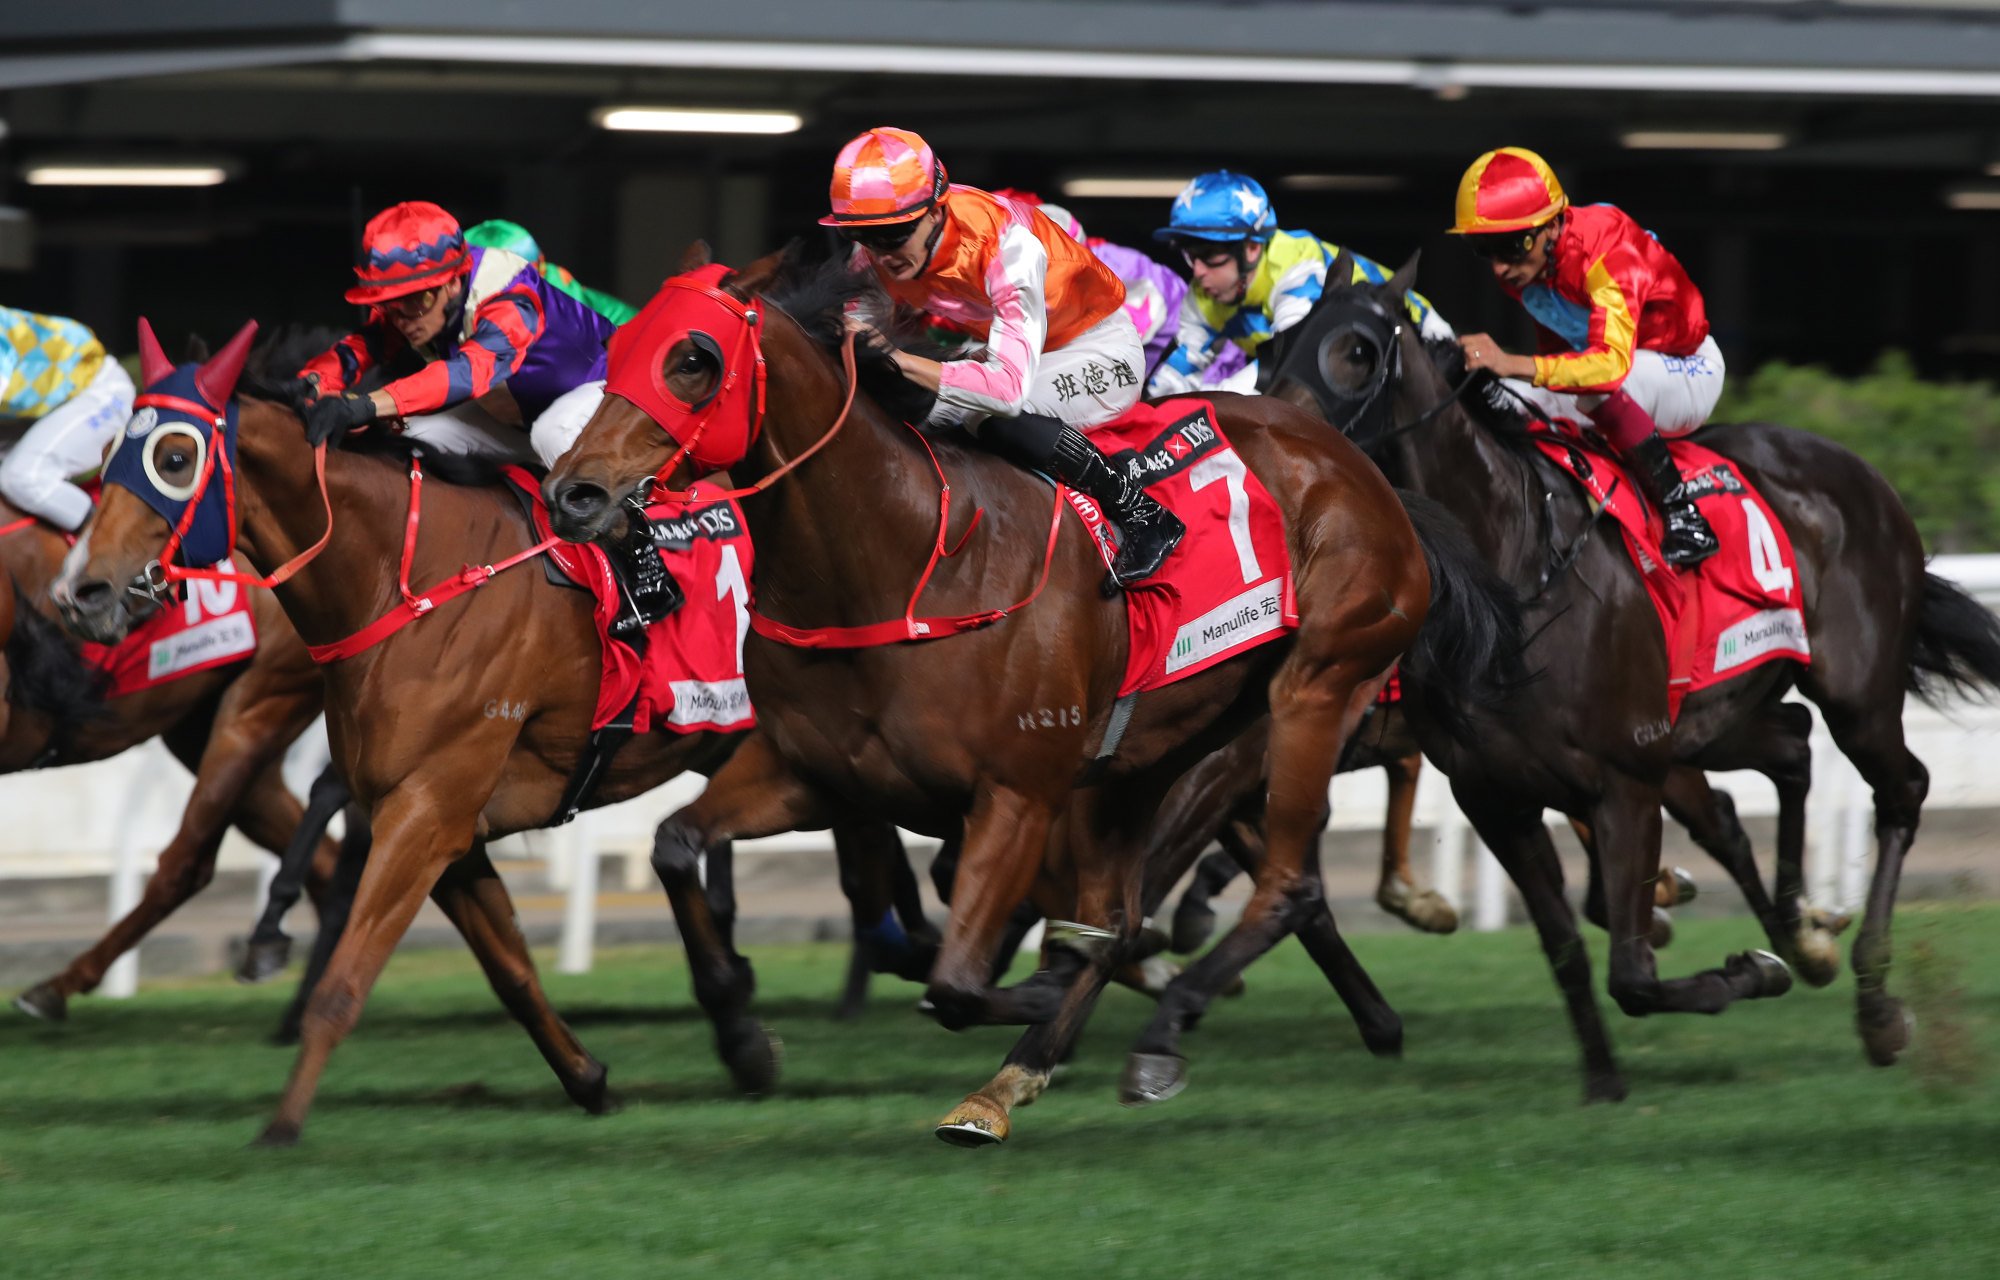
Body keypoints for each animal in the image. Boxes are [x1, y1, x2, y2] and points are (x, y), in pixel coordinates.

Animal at [52, 324, 916, 1144]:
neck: (412, 582)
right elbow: (513, 973)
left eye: (174, 457)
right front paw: (591, 1079)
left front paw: (282, 1125)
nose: (82, 592)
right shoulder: (448, 829)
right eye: (113, 452)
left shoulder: (425, 813)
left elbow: (347, 979)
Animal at [540, 248, 1520, 1136]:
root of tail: (1361, 470)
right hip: (1154, 754)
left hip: (1313, 689)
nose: (572, 493)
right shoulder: (815, 775)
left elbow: (958, 982)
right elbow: (676, 846)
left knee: (1282, 883)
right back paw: (1018, 1076)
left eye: (694, 359)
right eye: (621, 347)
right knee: (1129, 904)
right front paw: (744, 1037)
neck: (903, 560)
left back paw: (1151, 1032)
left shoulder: (1017, 793)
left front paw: (1044, 979)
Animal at [1264, 255, 2000, 1096]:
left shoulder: (1625, 778)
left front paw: (1752, 971)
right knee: (1790, 746)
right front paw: (1604, 1081)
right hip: (1713, 716)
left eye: (1356, 349)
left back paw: (1873, 1005)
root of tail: (1861, 473)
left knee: (1900, 789)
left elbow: (1634, 972)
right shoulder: (1497, 797)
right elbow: (1567, 953)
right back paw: (1806, 933)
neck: (1513, 577)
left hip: (1857, 695)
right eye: (1281, 340)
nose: (1276, 438)